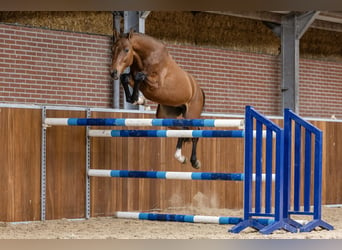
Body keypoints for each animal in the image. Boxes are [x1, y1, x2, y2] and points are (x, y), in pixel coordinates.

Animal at [110, 30, 206, 169]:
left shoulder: (156, 84)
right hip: (166, 116)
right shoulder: (134, 78)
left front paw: (139, 100)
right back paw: (180, 157)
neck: (148, 57)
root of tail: (199, 90)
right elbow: (126, 78)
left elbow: (139, 76)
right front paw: (139, 100)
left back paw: (194, 161)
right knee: (183, 129)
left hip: (191, 114)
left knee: (194, 132)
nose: (113, 73)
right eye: (112, 49)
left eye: (127, 50)